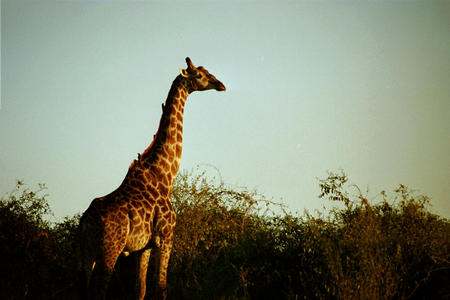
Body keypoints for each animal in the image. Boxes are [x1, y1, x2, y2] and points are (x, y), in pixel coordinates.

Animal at [77, 57, 225, 298]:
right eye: (200, 75)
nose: (221, 85)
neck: (165, 175)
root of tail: (84, 223)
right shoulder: (166, 238)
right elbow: (161, 287)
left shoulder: (143, 247)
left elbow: (140, 289)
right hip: (109, 251)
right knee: (99, 291)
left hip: (83, 256)